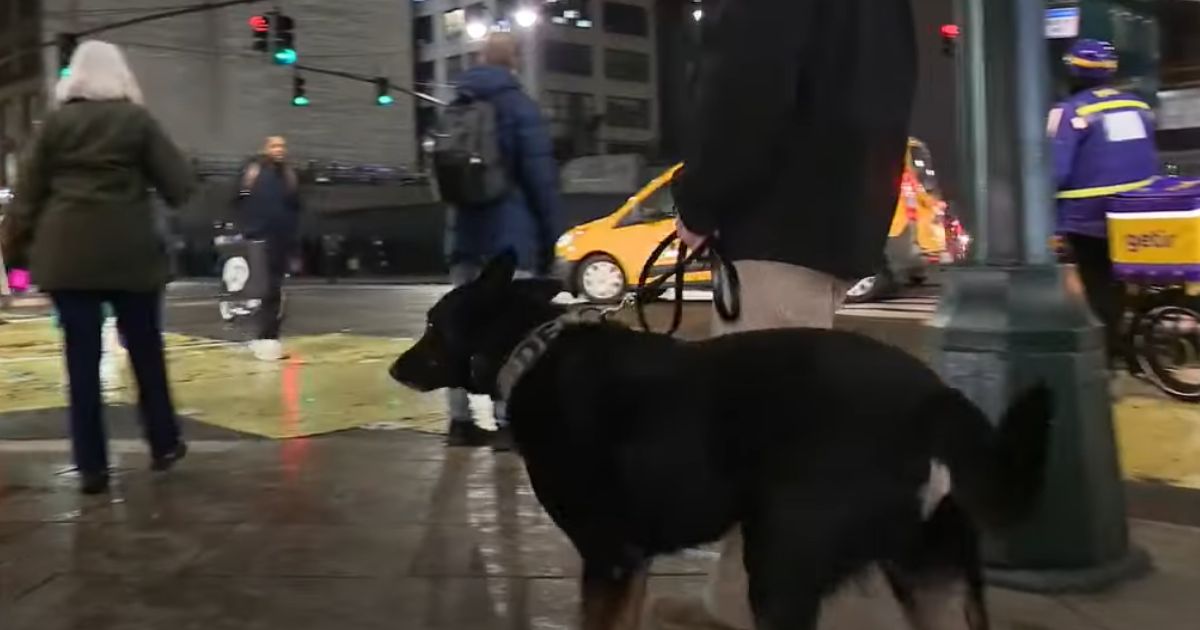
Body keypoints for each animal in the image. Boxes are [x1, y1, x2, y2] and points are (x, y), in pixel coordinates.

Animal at [393, 254, 1051, 628]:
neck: (530, 351)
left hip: (782, 563)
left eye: (431, 325)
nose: (396, 368)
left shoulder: (608, 558)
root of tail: (934, 397)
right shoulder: (630, 563)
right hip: (928, 574)